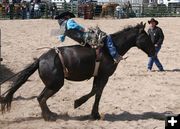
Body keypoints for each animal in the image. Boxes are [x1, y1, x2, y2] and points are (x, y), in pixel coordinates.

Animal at [0, 22, 155, 121]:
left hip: (52, 84)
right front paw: (79, 104)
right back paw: (49, 116)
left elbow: (96, 92)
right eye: (146, 37)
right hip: (56, 84)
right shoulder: (104, 76)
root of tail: (39, 59)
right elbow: (97, 91)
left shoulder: (98, 76)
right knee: (41, 98)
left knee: (40, 98)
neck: (110, 48)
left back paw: (49, 115)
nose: (154, 51)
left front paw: (94, 113)